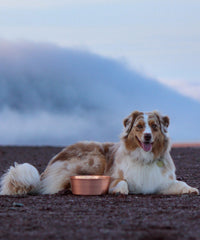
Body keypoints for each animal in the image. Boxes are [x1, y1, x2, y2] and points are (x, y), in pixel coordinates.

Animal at [0, 110, 198, 195]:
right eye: (140, 126)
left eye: (155, 126)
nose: (148, 136)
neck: (144, 158)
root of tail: (52, 161)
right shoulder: (113, 176)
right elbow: (122, 182)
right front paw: (120, 191)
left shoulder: (162, 182)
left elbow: (180, 183)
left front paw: (191, 189)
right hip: (95, 158)